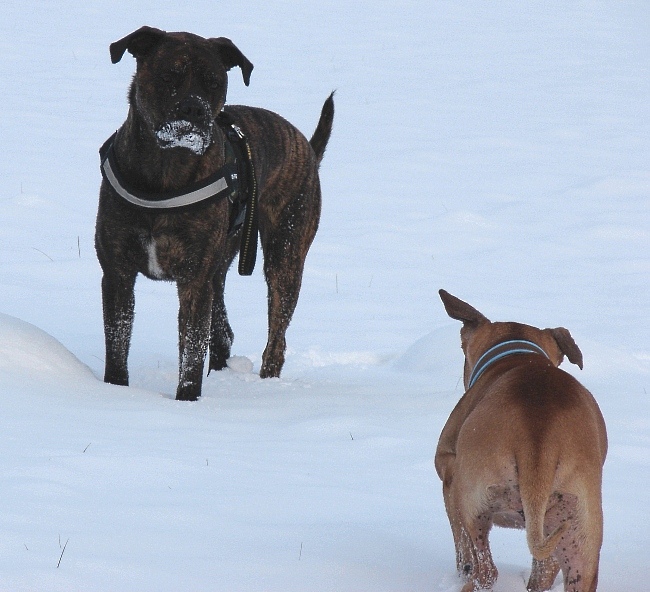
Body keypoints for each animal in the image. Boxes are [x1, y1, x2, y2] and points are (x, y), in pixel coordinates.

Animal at [96, 25, 334, 400]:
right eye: (170, 75)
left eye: (214, 81)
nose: (195, 109)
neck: (166, 169)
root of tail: (307, 147)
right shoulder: (118, 272)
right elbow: (118, 345)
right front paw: (115, 391)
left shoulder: (194, 281)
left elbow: (191, 352)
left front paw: (187, 401)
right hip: (223, 263)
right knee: (222, 331)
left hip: (285, 257)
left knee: (276, 339)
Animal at [432, 292, 604, 592]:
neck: (520, 355)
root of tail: (539, 441)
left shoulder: (449, 476)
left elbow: (461, 547)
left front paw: (461, 570)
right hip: (574, 527)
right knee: (553, 569)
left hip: (475, 499)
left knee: (485, 569)